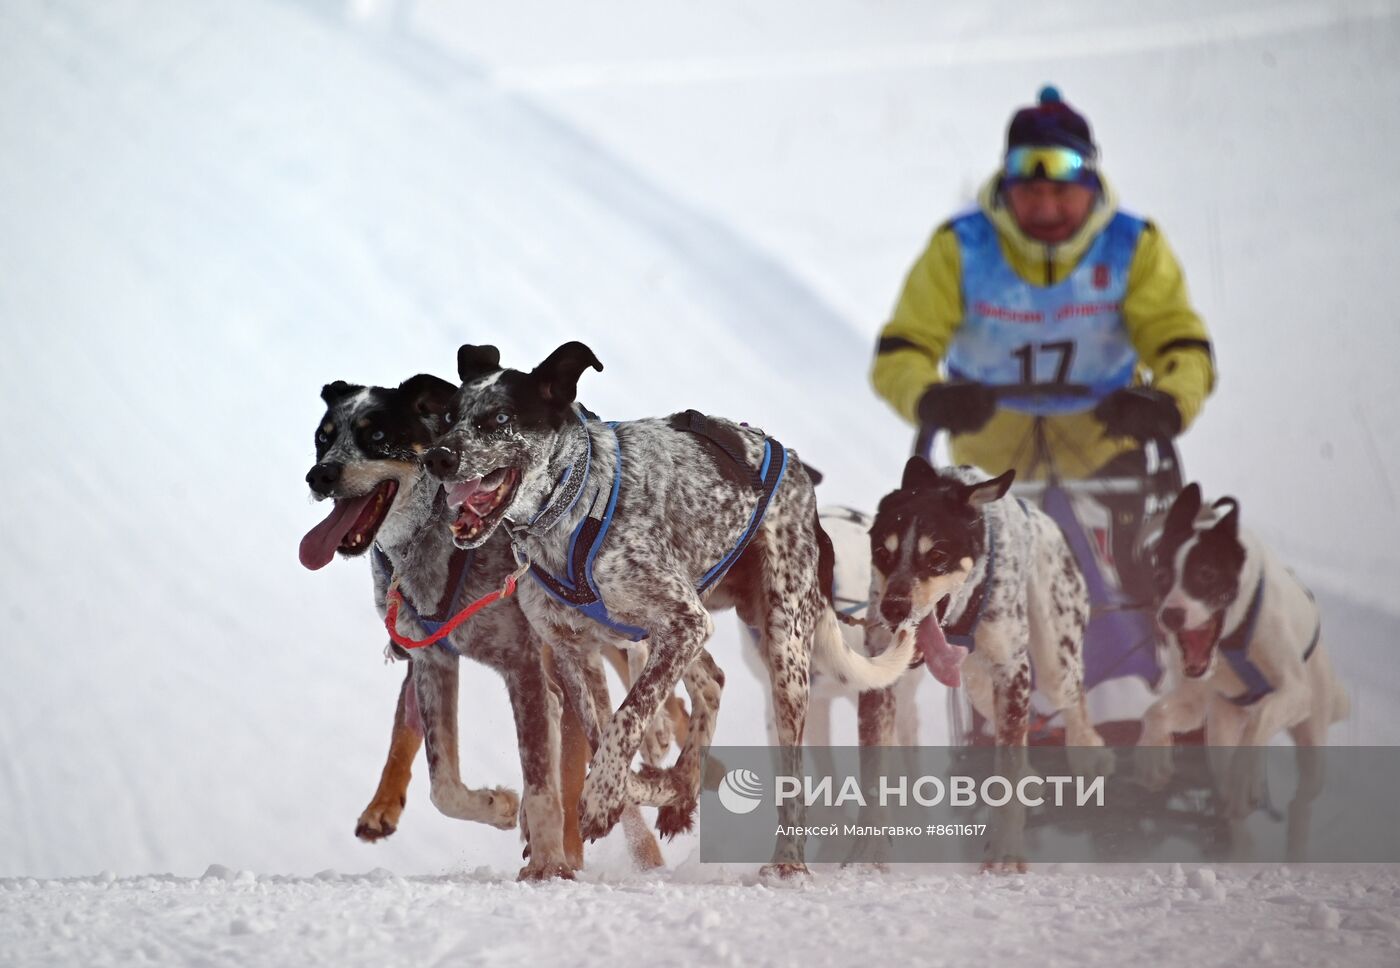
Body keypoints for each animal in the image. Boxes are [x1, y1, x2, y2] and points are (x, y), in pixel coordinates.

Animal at [420, 343, 912, 879]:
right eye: (449, 417)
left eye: (500, 418)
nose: (438, 456)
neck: (573, 510)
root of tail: (801, 477)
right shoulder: (575, 650)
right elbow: (601, 731)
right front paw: (634, 788)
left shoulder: (682, 623)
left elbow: (627, 718)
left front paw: (603, 797)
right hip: (682, 630)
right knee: (712, 681)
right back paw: (676, 787)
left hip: (779, 648)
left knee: (790, 773)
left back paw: (786, 861)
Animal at [1131, 481, 1349, 823]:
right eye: (1161, 576)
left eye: (1206, 573)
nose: (1170, 615)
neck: (1231, 641)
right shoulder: (1196, 702)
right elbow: (1155, 713)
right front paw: (1152, 755)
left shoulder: (1295, 692)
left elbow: (1257, 728)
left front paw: (1243, 775)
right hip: (1221, 727)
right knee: (1225, 774)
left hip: (1313, 731)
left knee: (1301, 795)